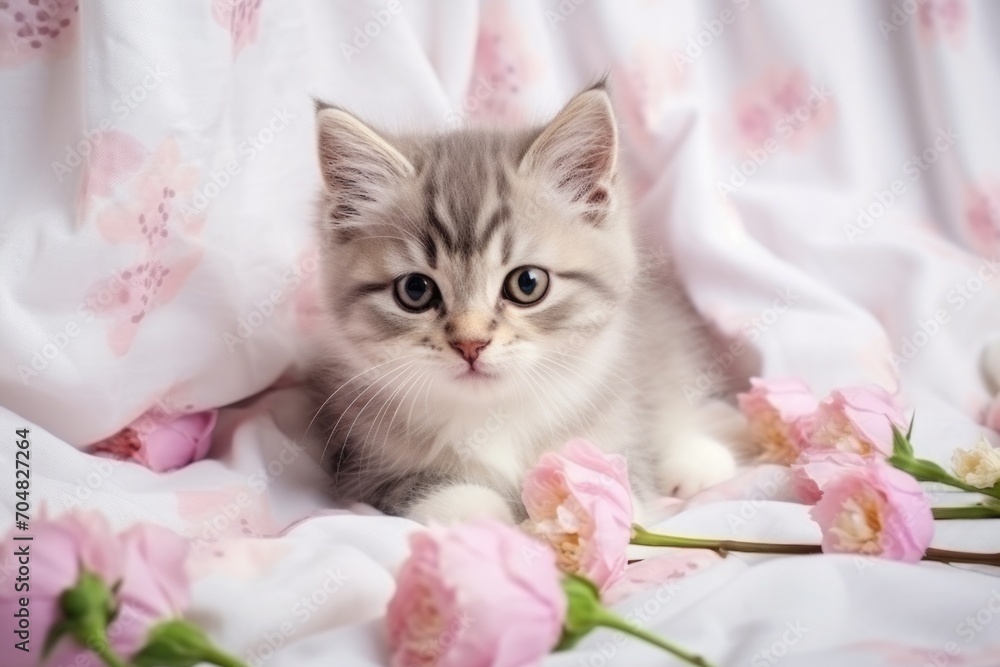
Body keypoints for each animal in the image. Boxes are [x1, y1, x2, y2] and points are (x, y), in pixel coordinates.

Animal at [308, 83, 748, 524]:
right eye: (415, 290)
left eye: (527, 284)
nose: (470, 344)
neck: (494, 415)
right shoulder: (355, 462)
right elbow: (418, 487)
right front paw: (479, 513)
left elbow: (618, 471)